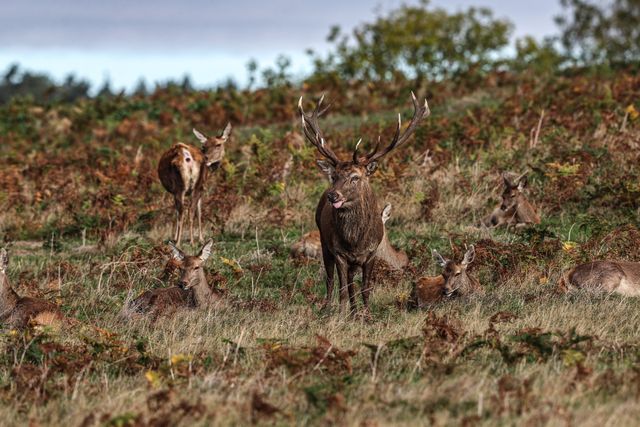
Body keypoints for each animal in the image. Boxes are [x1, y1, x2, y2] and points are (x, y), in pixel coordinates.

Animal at [298, 92, 429, 316]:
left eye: (355, 177)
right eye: (334, 176)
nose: (333, 195)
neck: (354, 241)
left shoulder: (370, 254)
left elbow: (365, 288)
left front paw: (366, 315)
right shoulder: (339, 253)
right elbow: (342, 288)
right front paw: (340, 315)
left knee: (351, 282)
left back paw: (353, 311)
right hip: (324, 243)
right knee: (331, 280)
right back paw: (328, 308)